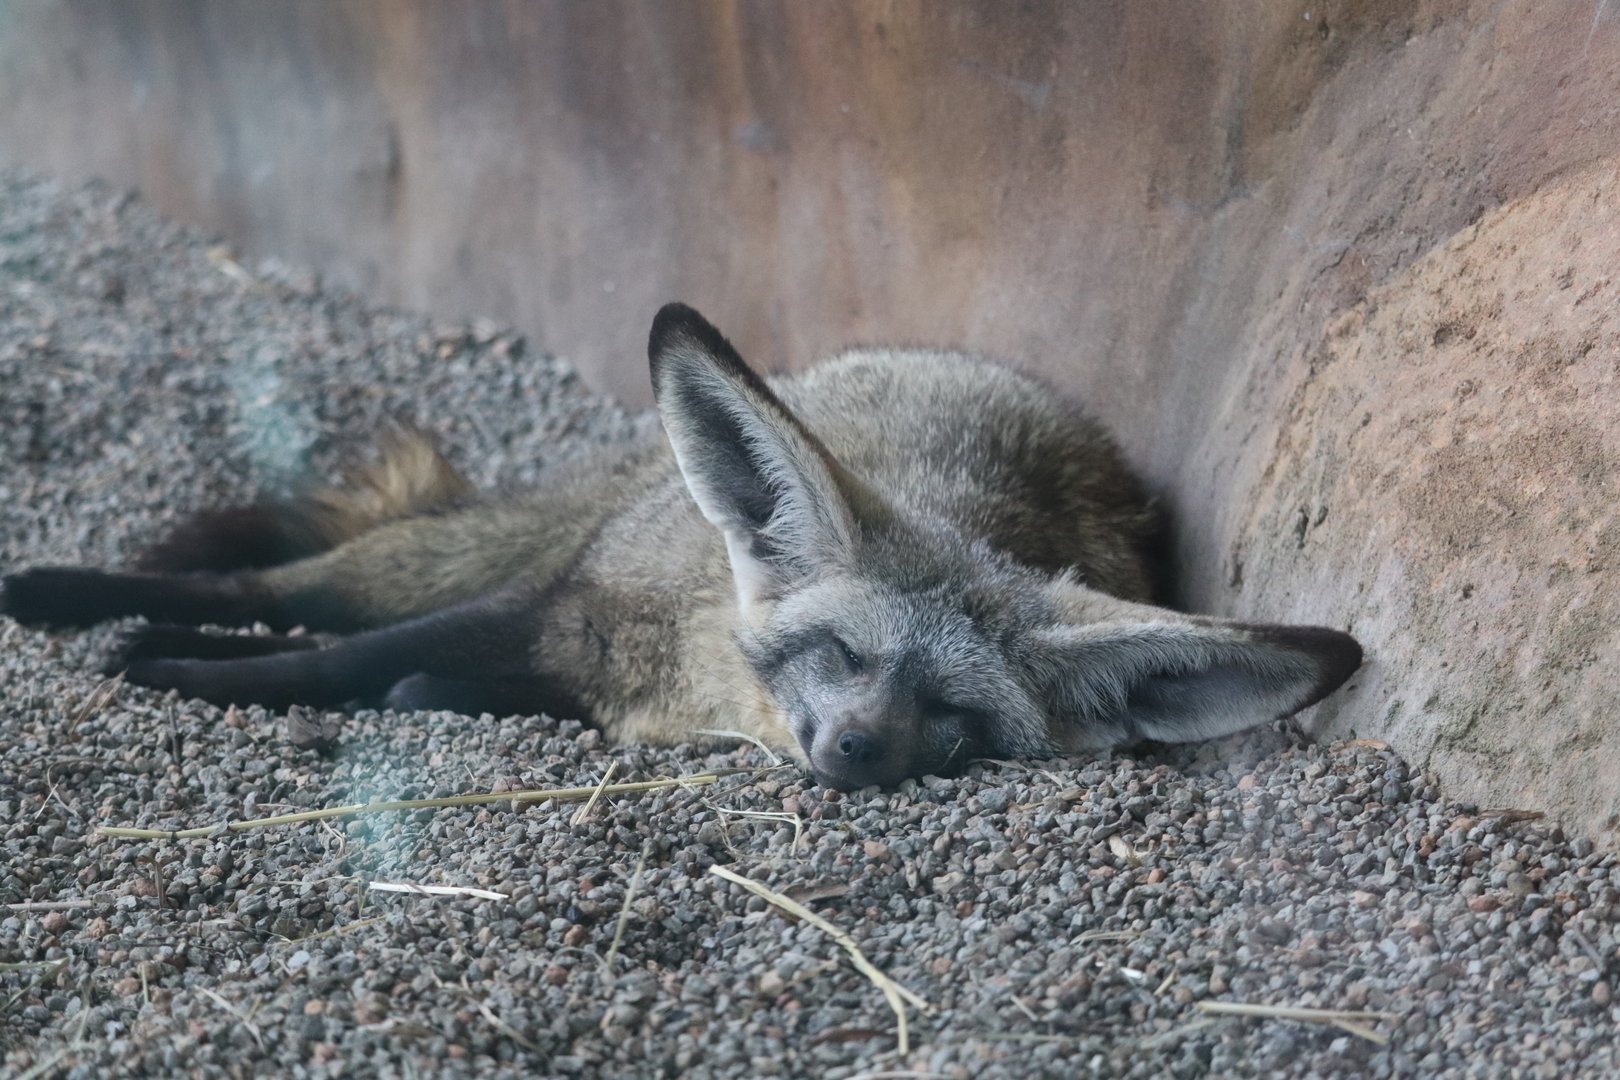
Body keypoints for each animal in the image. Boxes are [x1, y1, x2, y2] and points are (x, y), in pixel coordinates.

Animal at [0, 304, 1362, 790]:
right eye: (844, 655)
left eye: (957, 714)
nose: (855, 753)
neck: (692, 675)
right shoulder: (553, 605)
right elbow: (321, 661)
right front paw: (182, 671)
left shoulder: (575, 661)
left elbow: (397, 677)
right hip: (466, 562)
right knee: (296, 589)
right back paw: (85, 595)